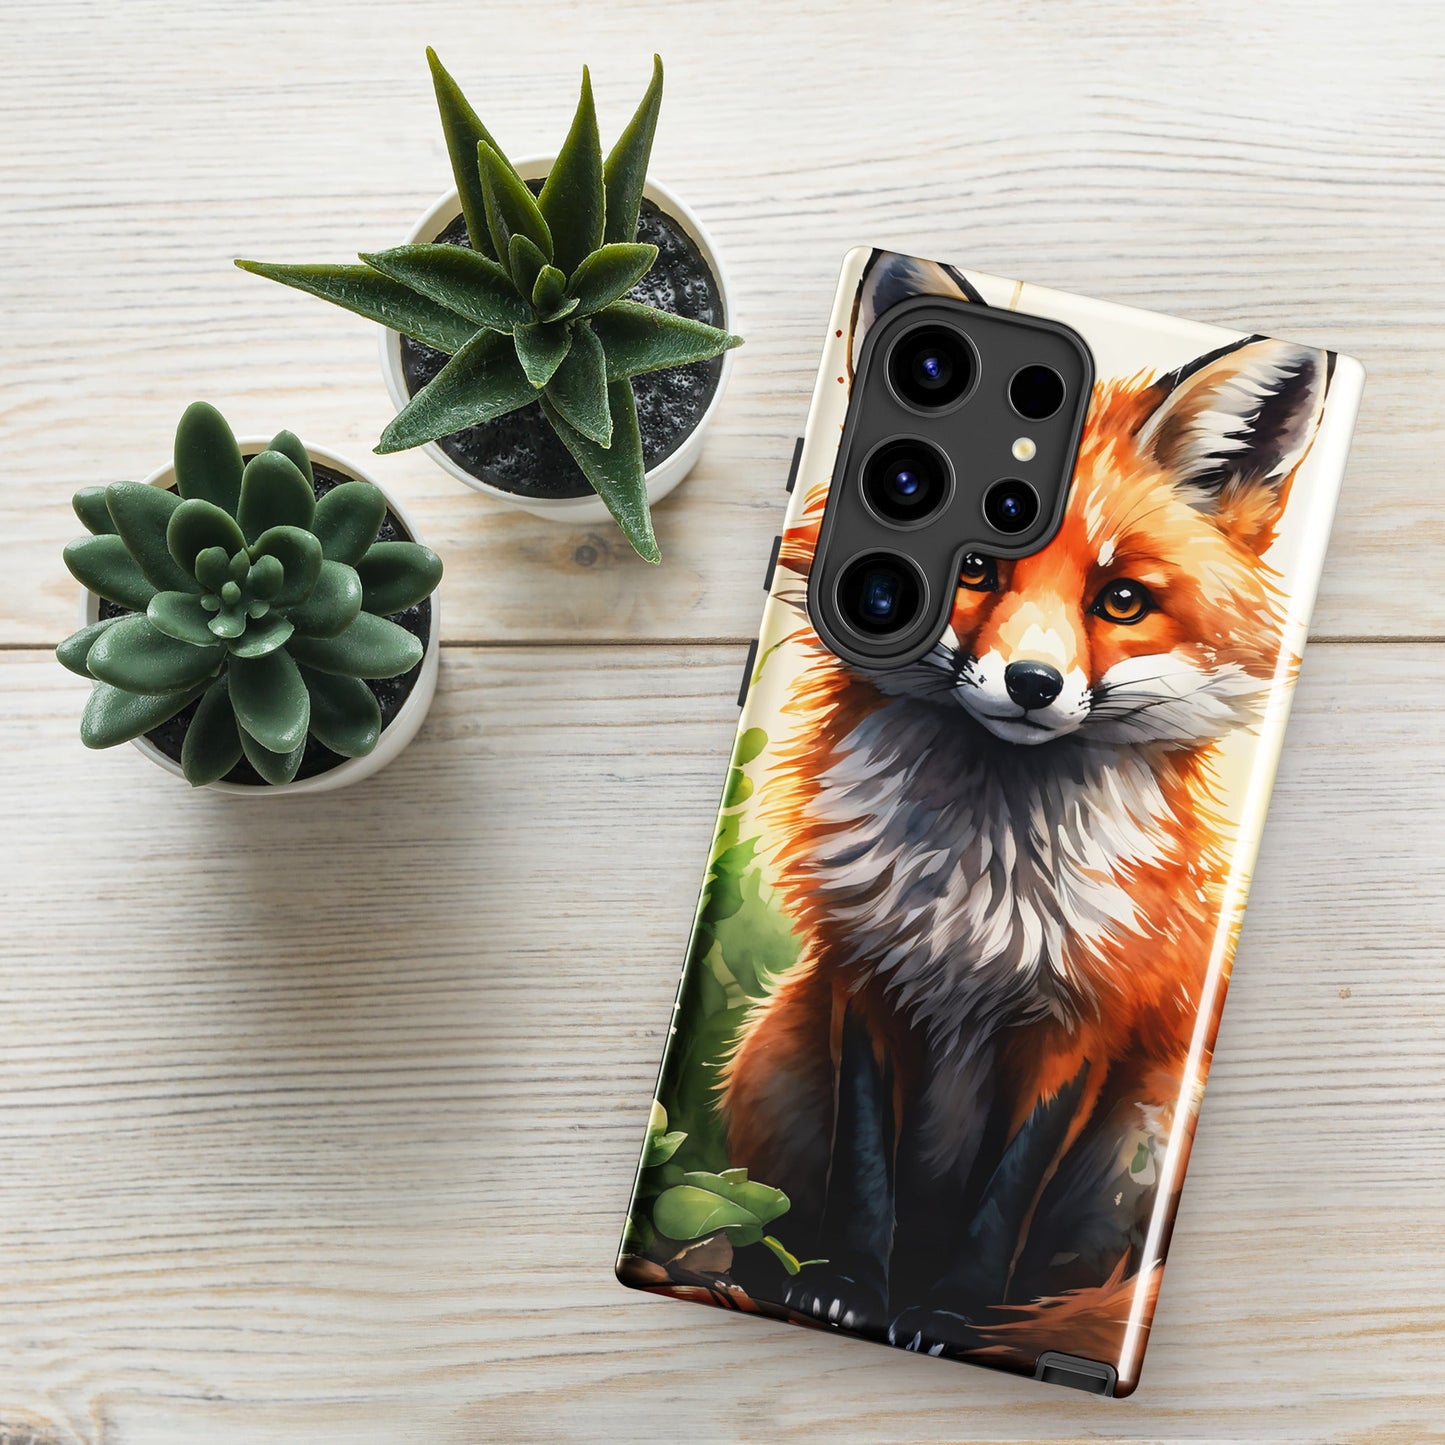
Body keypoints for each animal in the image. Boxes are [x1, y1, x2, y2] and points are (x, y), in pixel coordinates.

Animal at [720, 264, 1330, 1360]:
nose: (1033, 683)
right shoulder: (865, 981)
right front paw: (846, 1287)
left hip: (1146, 1124)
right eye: (971, 567)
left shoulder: (1082, 1018)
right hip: (773, 1046)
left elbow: (1004, 1193)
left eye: (1121, 598)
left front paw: (949, 1313)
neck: (980, 891)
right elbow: (865, 1169)